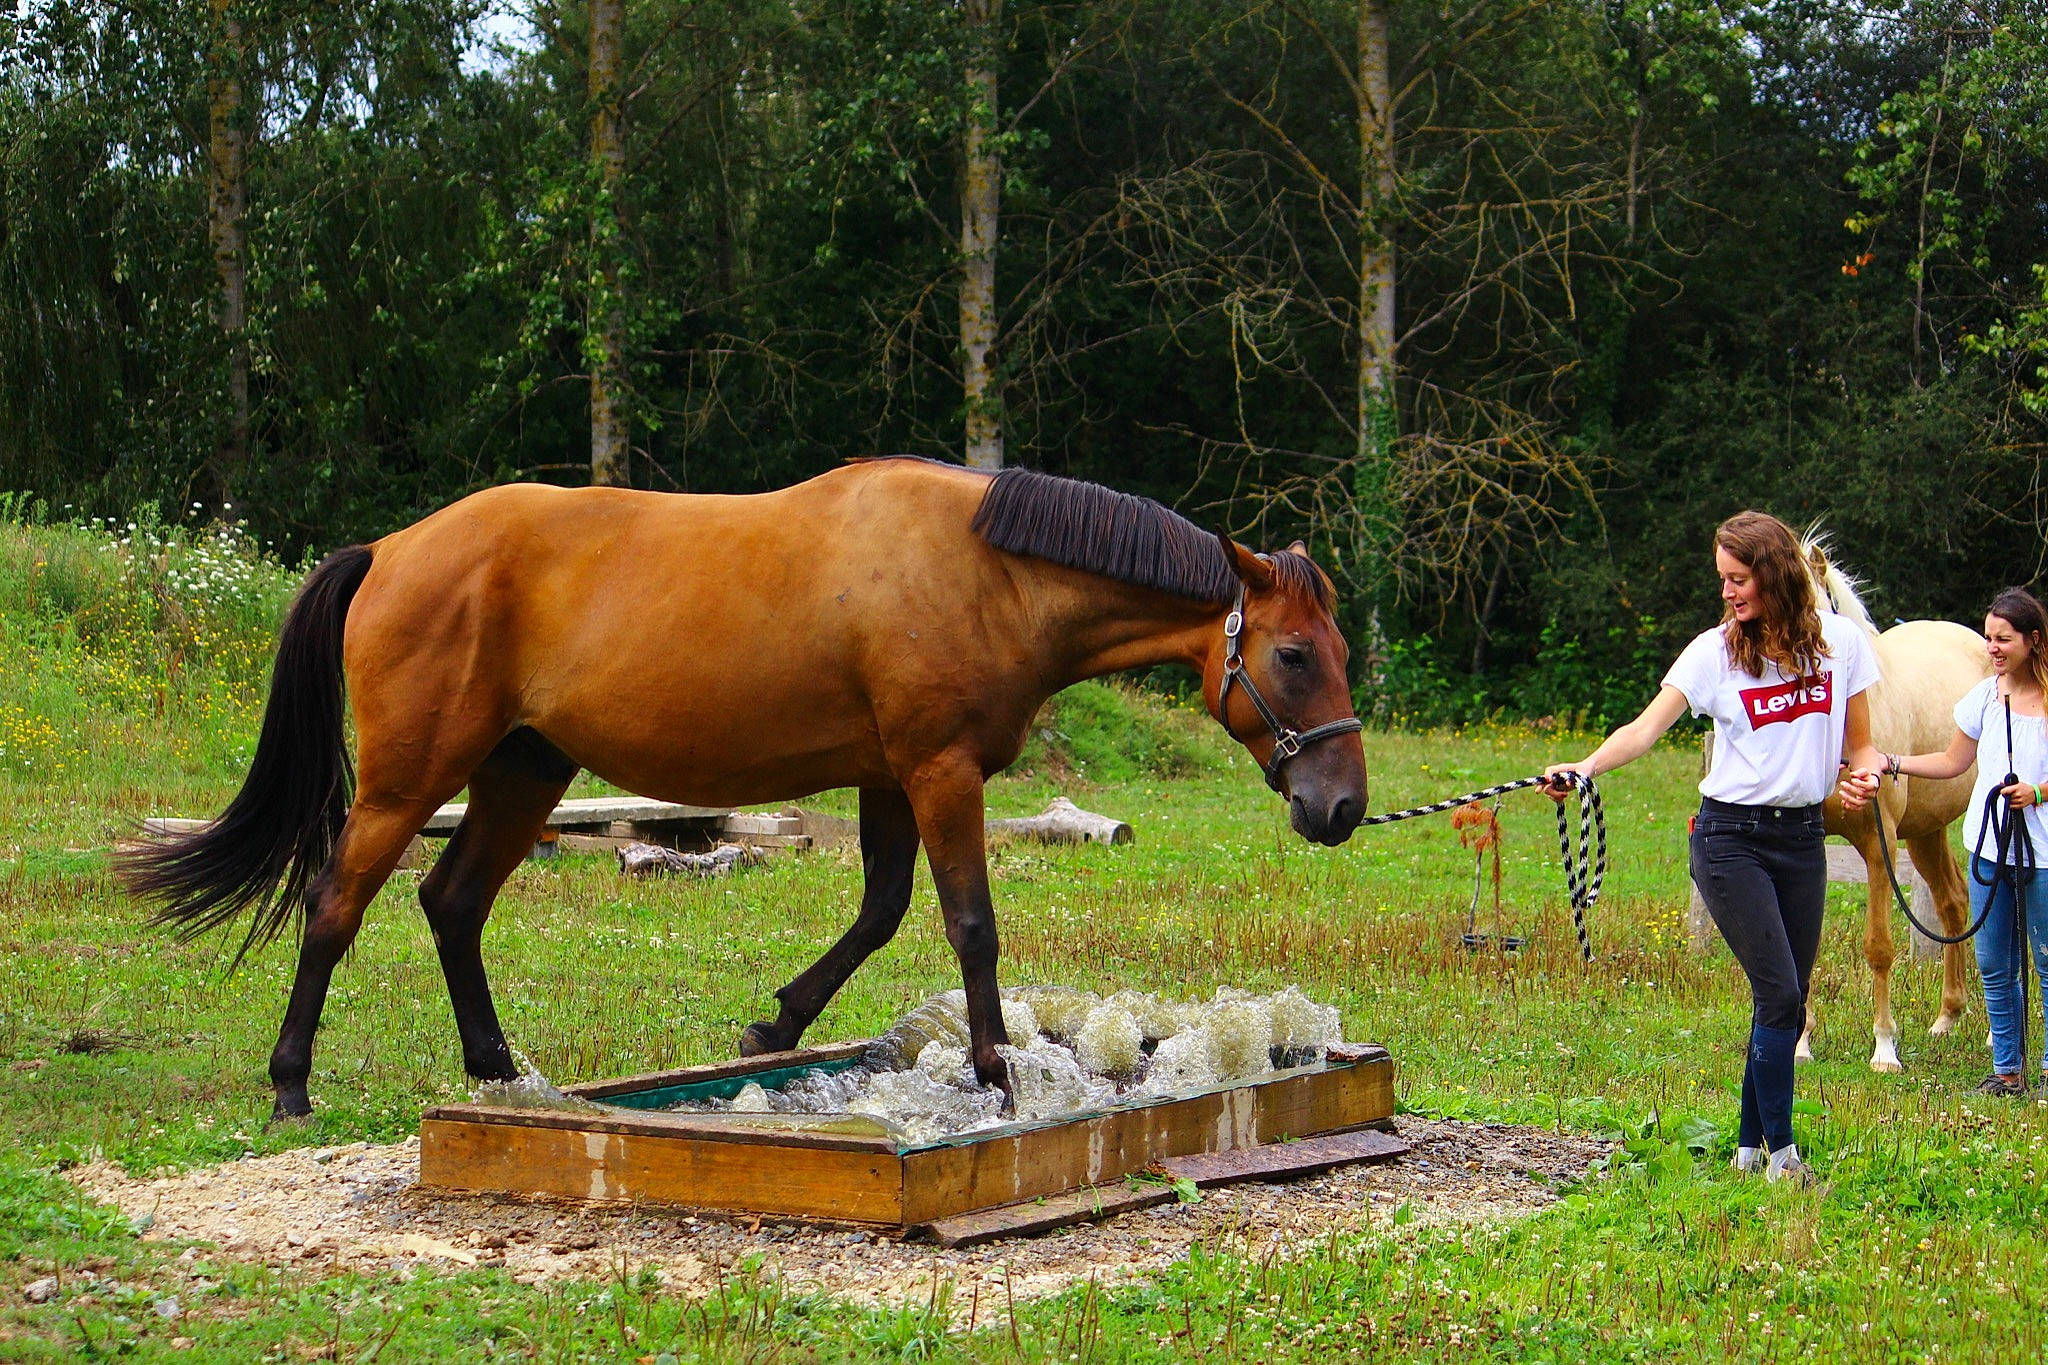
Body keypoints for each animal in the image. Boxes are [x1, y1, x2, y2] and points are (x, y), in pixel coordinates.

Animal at [118, 459, 1368, 1120]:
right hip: (407, 782)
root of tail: (389, 548)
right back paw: (291, 1087)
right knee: (338, 905)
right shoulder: (937, 771)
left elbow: (878, 913)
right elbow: (968, 924)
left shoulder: (887, 777)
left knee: (451, 904)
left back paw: (497, 1071)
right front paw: (991, 1076)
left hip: (526, 771)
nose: (1342, 806)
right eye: (1292, 655)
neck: (982, 569)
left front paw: (778, 1022)